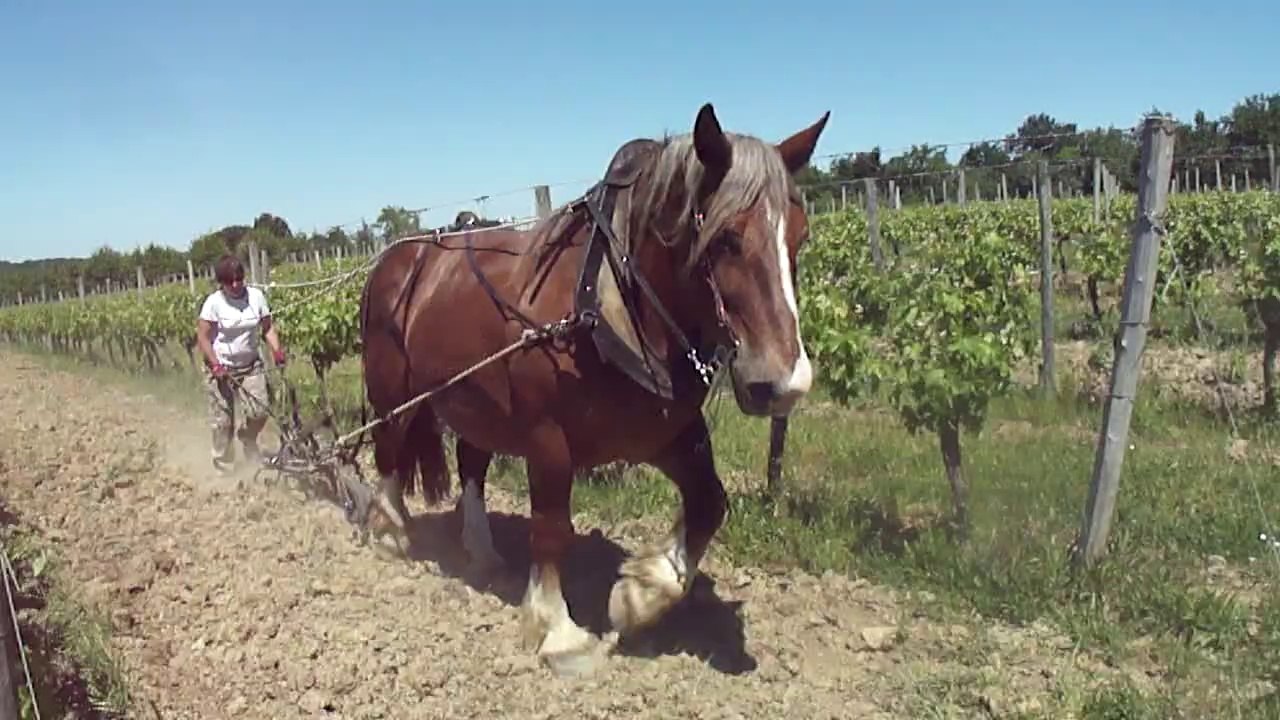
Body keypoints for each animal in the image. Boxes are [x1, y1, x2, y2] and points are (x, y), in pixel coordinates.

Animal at [357, 103, 829, 675]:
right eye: (725, 239)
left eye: (799, 236)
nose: (785, 382)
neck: (607, 308)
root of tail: (399, 257)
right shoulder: (547, 440)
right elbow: (552, 528)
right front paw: (558, 630)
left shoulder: (670, 433)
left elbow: (710, 503)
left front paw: (641, 594)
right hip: (392, 391)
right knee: (387, 450)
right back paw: (391, 531)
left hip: (476, 400)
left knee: (471, 463)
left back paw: (482, 552)